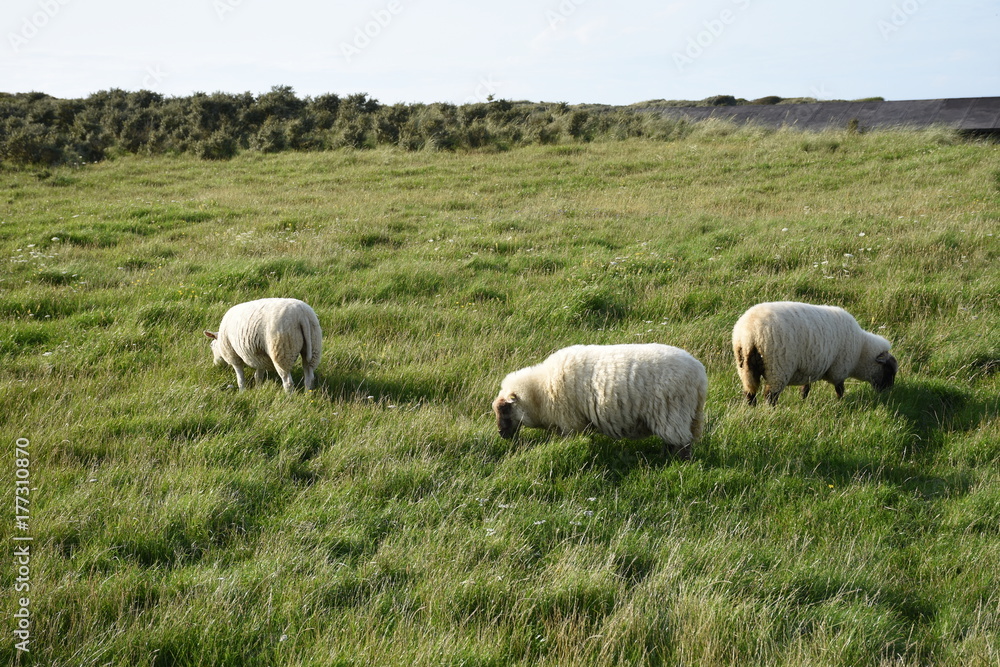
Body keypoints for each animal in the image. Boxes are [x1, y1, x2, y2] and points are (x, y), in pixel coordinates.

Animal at [492, 344, 707, 459]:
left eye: (505, 409)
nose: (501, 434)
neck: (541, 390)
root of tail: (699, 374)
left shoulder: (570, 422)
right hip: (687, 415)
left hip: (672, 412)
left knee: (679, 443)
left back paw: (675, 463)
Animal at [732, 301, 897, 406]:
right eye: (889, 370)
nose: (889, 391)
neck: (861, 351)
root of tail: (749, 334)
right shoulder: (839, 369)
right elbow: (840, 389)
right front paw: (840, 402)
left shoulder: (811, 367)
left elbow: (806, 387)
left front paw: (803, 400)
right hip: (778, 368)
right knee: (770, 396)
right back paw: (771, 411)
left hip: (746, 369)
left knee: (750, 393)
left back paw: (752, 409)